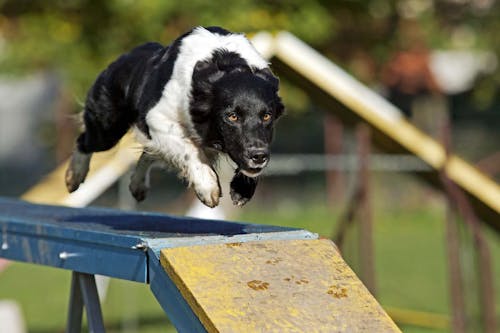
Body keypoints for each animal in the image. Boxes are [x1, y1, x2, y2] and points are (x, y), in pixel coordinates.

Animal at [66, 26, 284, 208]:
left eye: (267, 116)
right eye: (232, 117)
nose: (258, 156)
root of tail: (125, 57)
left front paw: (242, 189)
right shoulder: (157, 119)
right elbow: (189, 150)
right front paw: (208, 187)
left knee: (148, 153)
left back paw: (138, 185)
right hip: (107, 128)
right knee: (83, 141)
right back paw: (74, 177)